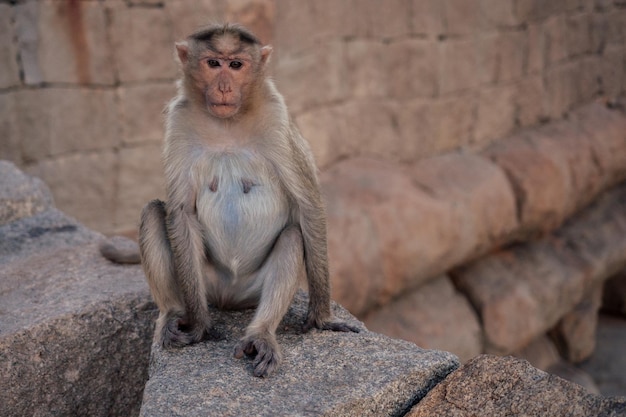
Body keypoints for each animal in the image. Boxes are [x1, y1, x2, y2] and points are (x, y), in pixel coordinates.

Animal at [100, 23, 358, 376]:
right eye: (213, 63)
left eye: (236, 65)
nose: (224, 87)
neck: (228, 124)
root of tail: (229, 299)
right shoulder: (178, 121)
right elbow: (180, 212)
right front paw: (198, 326)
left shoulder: (277, 118)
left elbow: (308, 205)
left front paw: (322, 318)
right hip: (202, 281)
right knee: (154, 213)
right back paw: (174, 313)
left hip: (251, 291)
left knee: (293, 236)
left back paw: (260, 334)